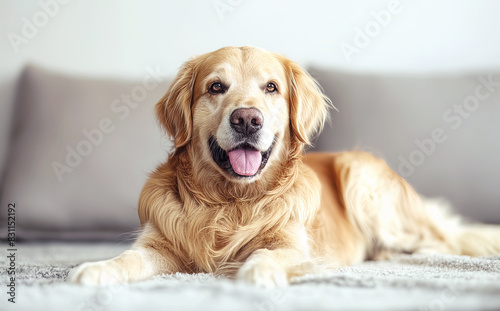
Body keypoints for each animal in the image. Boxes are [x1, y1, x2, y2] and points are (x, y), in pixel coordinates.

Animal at [69, 45, 500, 288]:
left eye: (271, 87)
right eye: (216, 87)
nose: (247, 119)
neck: (231, 202)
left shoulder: (293, 244)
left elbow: (266, 255)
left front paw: (257, 273)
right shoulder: (160, 243)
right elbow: (129, 258)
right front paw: (97, 268)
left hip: (361, 173)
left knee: (441, 241)